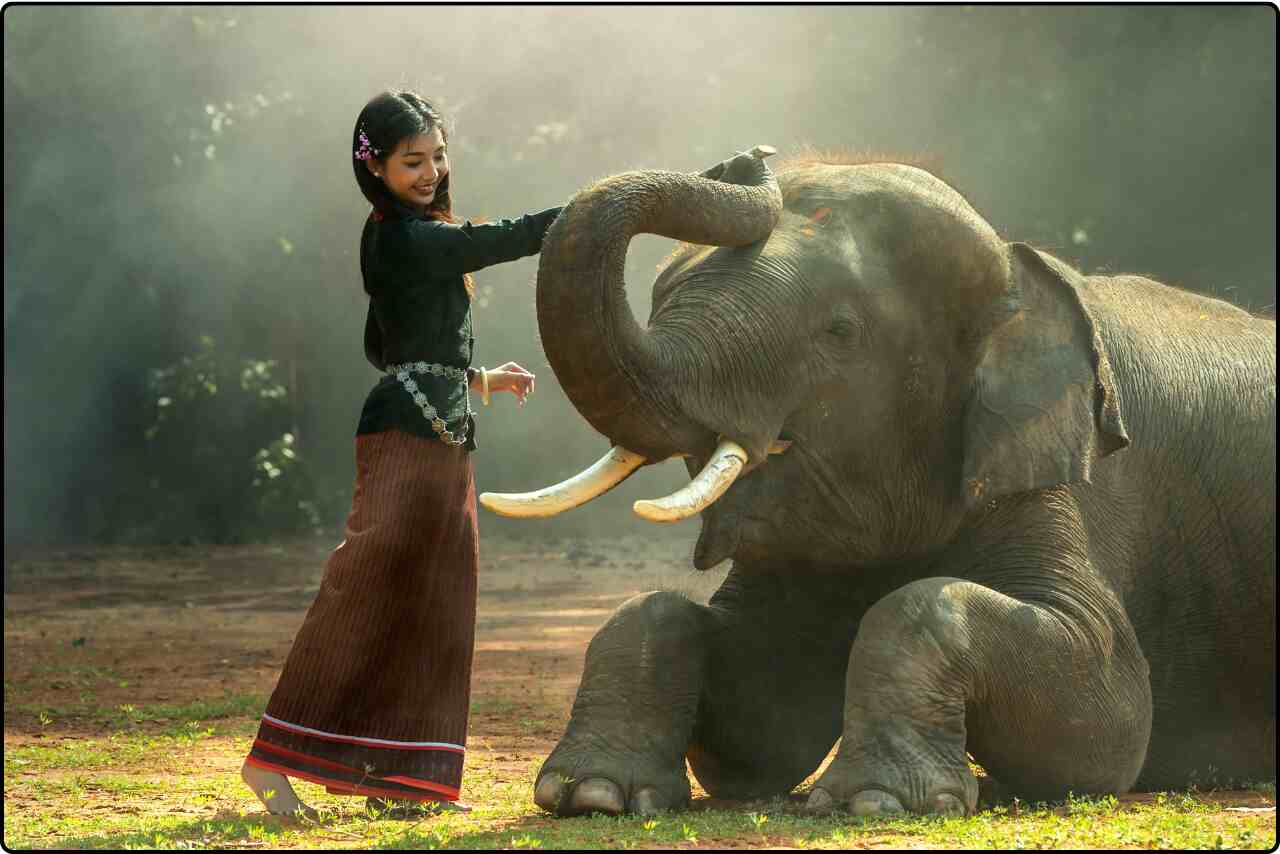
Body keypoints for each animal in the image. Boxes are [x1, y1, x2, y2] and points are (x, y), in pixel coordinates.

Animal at [478, 148, 1269, 819]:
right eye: (662, 295)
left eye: (840, 331)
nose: (748, 157)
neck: (1018, 271)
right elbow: (758, 720)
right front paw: (592, 795)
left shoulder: (1055, 470)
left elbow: (1108, 712)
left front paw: (879, 802)